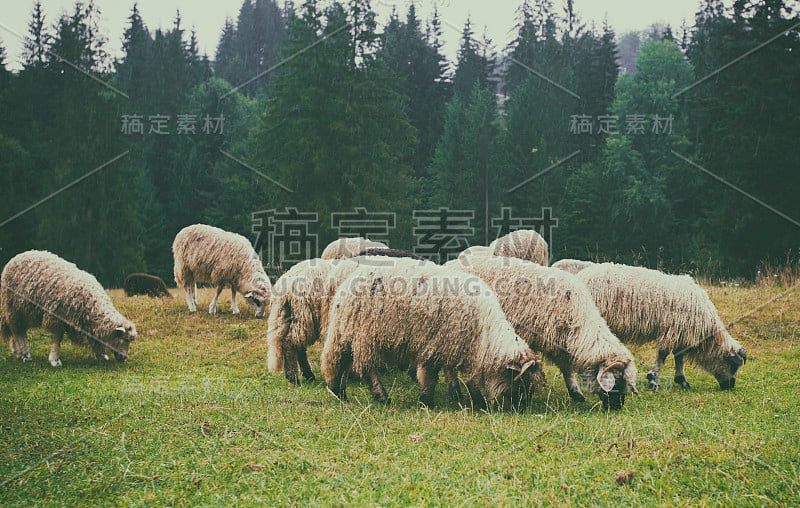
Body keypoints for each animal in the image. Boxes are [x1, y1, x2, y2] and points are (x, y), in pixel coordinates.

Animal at [0, 249, 138, 366]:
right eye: (126, 340)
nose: (124, 358)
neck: (92, 303)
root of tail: (18, 255)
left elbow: (93, 339)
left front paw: (101, 355)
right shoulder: (57, 317)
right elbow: (57, 339)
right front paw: (55, 360)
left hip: (24, 311)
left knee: (17, 330)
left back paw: (17, 350)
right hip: (13, 308)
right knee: (18, 331)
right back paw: (25, 354)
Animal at [318, 260, 544, 410]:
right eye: (522, 382)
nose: (522, 408)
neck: (484, 334)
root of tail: (347, 282)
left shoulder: (452, 346)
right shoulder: (439, 345)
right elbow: (439, 376)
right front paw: (429, 401)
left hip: (350, 333)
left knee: (342, 360)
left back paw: (340, 391)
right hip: (364, 334)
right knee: (362, 367)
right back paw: (378, 396)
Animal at [446, 254, 640, 408]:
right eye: (617, 381)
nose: (616, 407)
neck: (579, 318)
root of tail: (451, 262)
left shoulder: (560, 342)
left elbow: (566, 369)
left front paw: (575, 392)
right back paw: (455, 391)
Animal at [580, 264, 748, 390]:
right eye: (734, 366)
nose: (730, 386)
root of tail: (582, 275)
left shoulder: (681, 334)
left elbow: (679, 356)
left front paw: (681, 380)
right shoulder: (673, 331)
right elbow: (664, 355)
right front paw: (653, 379)